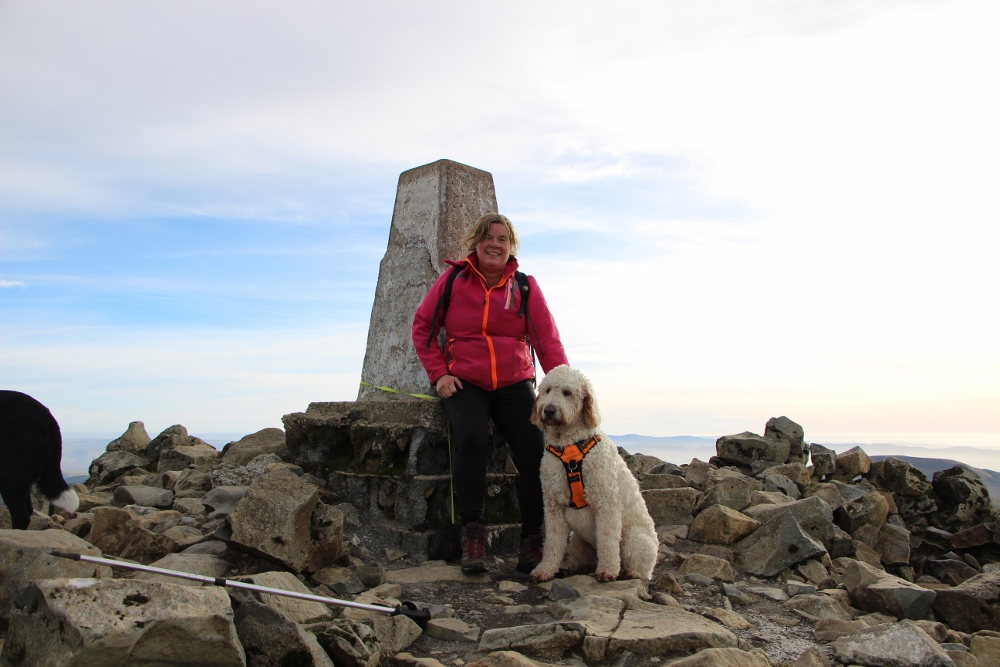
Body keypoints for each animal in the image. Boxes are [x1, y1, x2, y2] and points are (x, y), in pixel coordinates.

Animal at [528, 366, 660, 584]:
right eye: (547, 390)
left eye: (567, 392)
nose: (549, 410)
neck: (568, 444)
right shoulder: (553, 504)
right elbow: (553, 541)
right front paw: (545, 569)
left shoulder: (606, 501)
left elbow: (607, 539)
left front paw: (607, 571)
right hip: (577, 542)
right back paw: (583, 567)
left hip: (635, 538)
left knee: (642, 571)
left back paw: (629, 572)